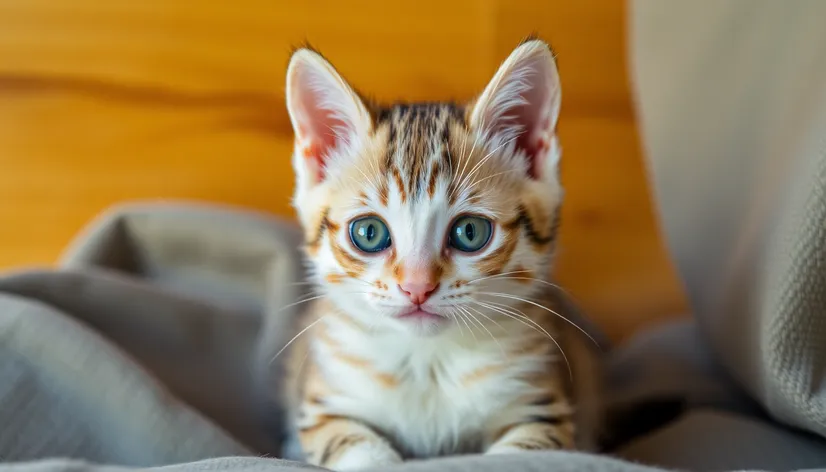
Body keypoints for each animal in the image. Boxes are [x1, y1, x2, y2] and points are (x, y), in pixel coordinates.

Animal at [280, 37, 596, 472]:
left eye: (470, 232)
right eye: (369, 233)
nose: (417, 287)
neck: (427, 362)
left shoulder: (542, 408)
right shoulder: (323, 406)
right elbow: (354, 446)